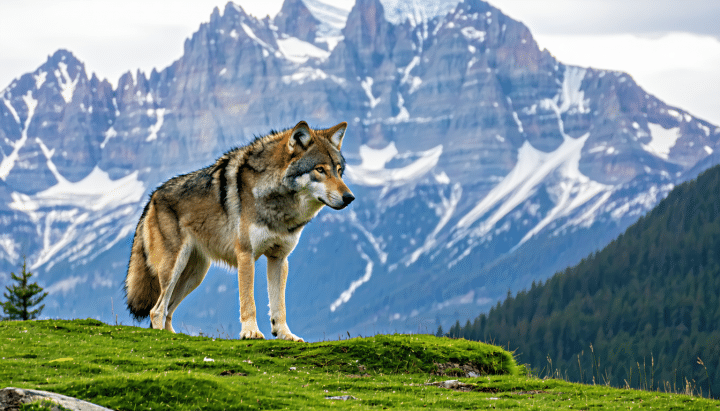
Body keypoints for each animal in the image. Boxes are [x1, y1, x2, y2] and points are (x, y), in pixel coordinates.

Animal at [124, 121, 354, 342]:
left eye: (339, 171)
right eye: (320, 170)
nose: (349, 197)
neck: (276, 201)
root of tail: (153, 196)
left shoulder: (279, 258)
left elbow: (279, 306)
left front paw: (285, 335)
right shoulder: (246, 254)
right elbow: (248, 301)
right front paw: (251, 332)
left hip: (194, 275)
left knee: (168, 311)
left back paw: (173, 337)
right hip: (174, 268)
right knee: (156, 310)